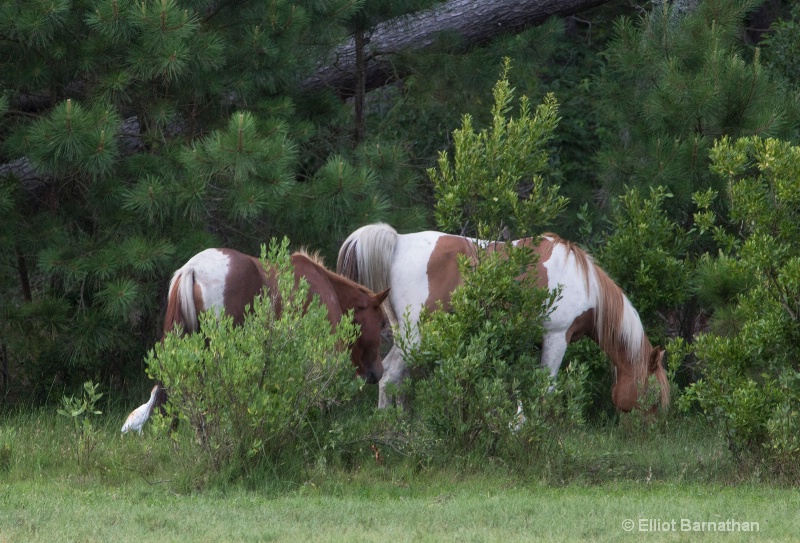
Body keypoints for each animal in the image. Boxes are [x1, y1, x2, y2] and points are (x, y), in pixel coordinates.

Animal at [338, 223, 668, 414]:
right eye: (652, 397)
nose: (646, 433)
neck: (582, 282)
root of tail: (398, 242)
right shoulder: (555, 337)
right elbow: (546, 389)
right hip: (416, 337)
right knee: (389, 378)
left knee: (400, 382)